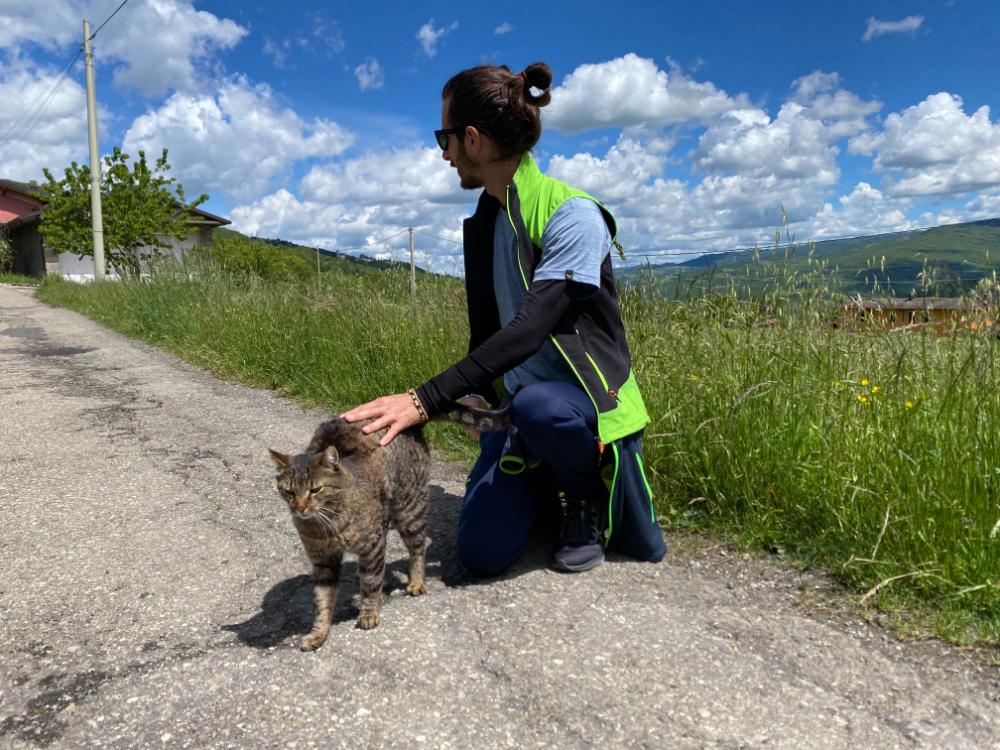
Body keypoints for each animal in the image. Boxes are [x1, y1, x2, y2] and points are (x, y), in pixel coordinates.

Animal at [270, 400, 512, 652]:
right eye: (289, 491)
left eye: (315, 490)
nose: (300, 507)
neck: (328, 524)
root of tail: (414, 423)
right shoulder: (322, 561)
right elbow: (322, 600)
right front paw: (318, 633)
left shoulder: (373, 546)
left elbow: (370, 582)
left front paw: (368, 613)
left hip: (409, 510)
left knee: (418, 548)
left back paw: (416, 581)